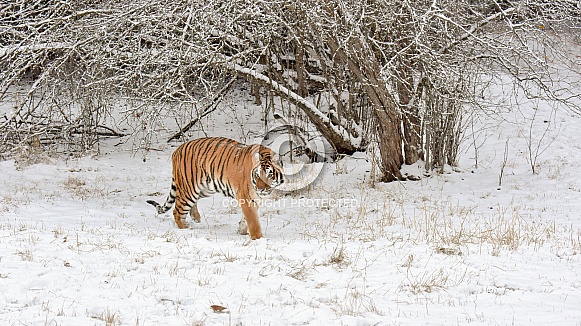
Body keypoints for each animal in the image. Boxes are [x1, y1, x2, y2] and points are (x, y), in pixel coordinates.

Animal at [146, 136, 284, 241]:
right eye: (257, 175)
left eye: (269, 175)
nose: (261, 189)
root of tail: (177, 150)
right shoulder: (246, 198)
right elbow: (253, 221)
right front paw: (258, 239)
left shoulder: (255, 200)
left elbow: (246, 219)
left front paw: (241, 230)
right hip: (189, 189)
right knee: (177, 211)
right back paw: (186, 229)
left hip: (205, 188)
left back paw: (195, 217)